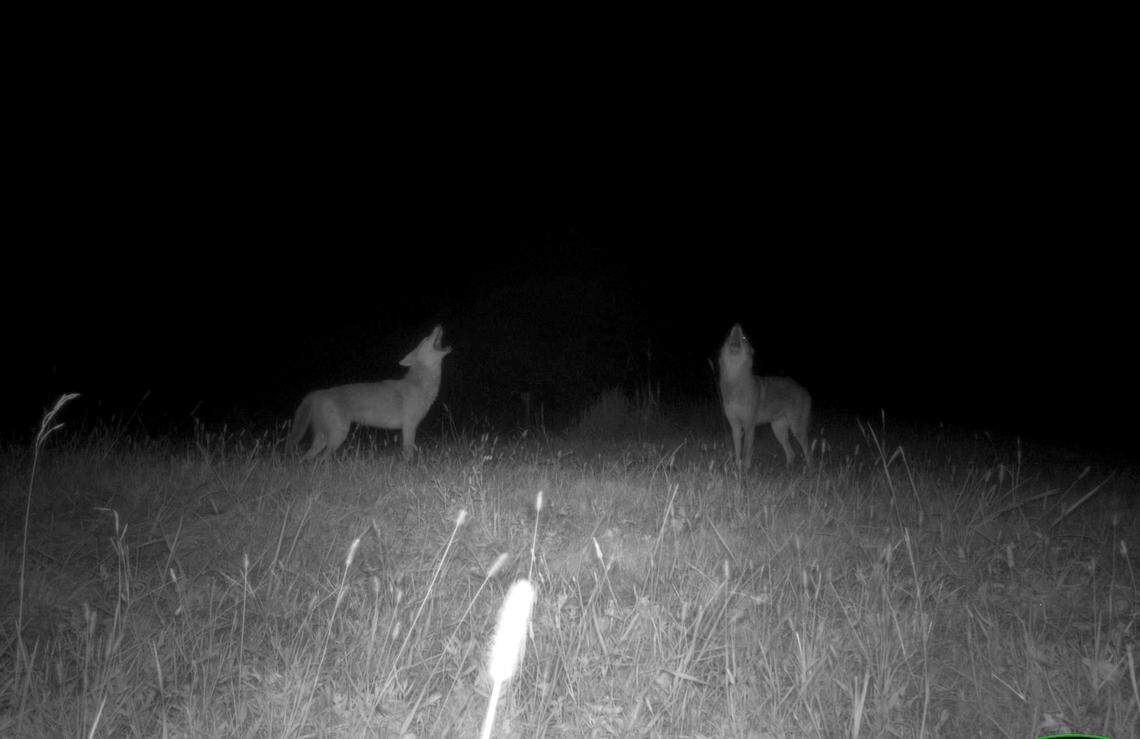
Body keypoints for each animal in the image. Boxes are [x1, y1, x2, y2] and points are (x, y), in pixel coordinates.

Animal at [287, 325, 451, 460]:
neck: (420, 384)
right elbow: (408, 453)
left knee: (308, 457)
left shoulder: (409, 427)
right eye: (427, 338)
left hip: (323, 439)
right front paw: (409, 468)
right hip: (337, 436)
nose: (439, 324)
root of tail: (317, 392)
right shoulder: (409, 427)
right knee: (322, 458)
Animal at [718, 323, 812, 470]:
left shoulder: (749, 425)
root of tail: (804, 390)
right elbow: (738, 452)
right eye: (729, 335)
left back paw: (811, 470)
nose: (737, 325)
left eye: (744, 337)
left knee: (808, 452)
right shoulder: (735, 426)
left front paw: (745, 469)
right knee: (792, 454)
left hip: (796, 430)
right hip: (778, 430)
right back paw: (787, 469)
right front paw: (737, 468)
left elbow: (746, 450)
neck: (735, 382)